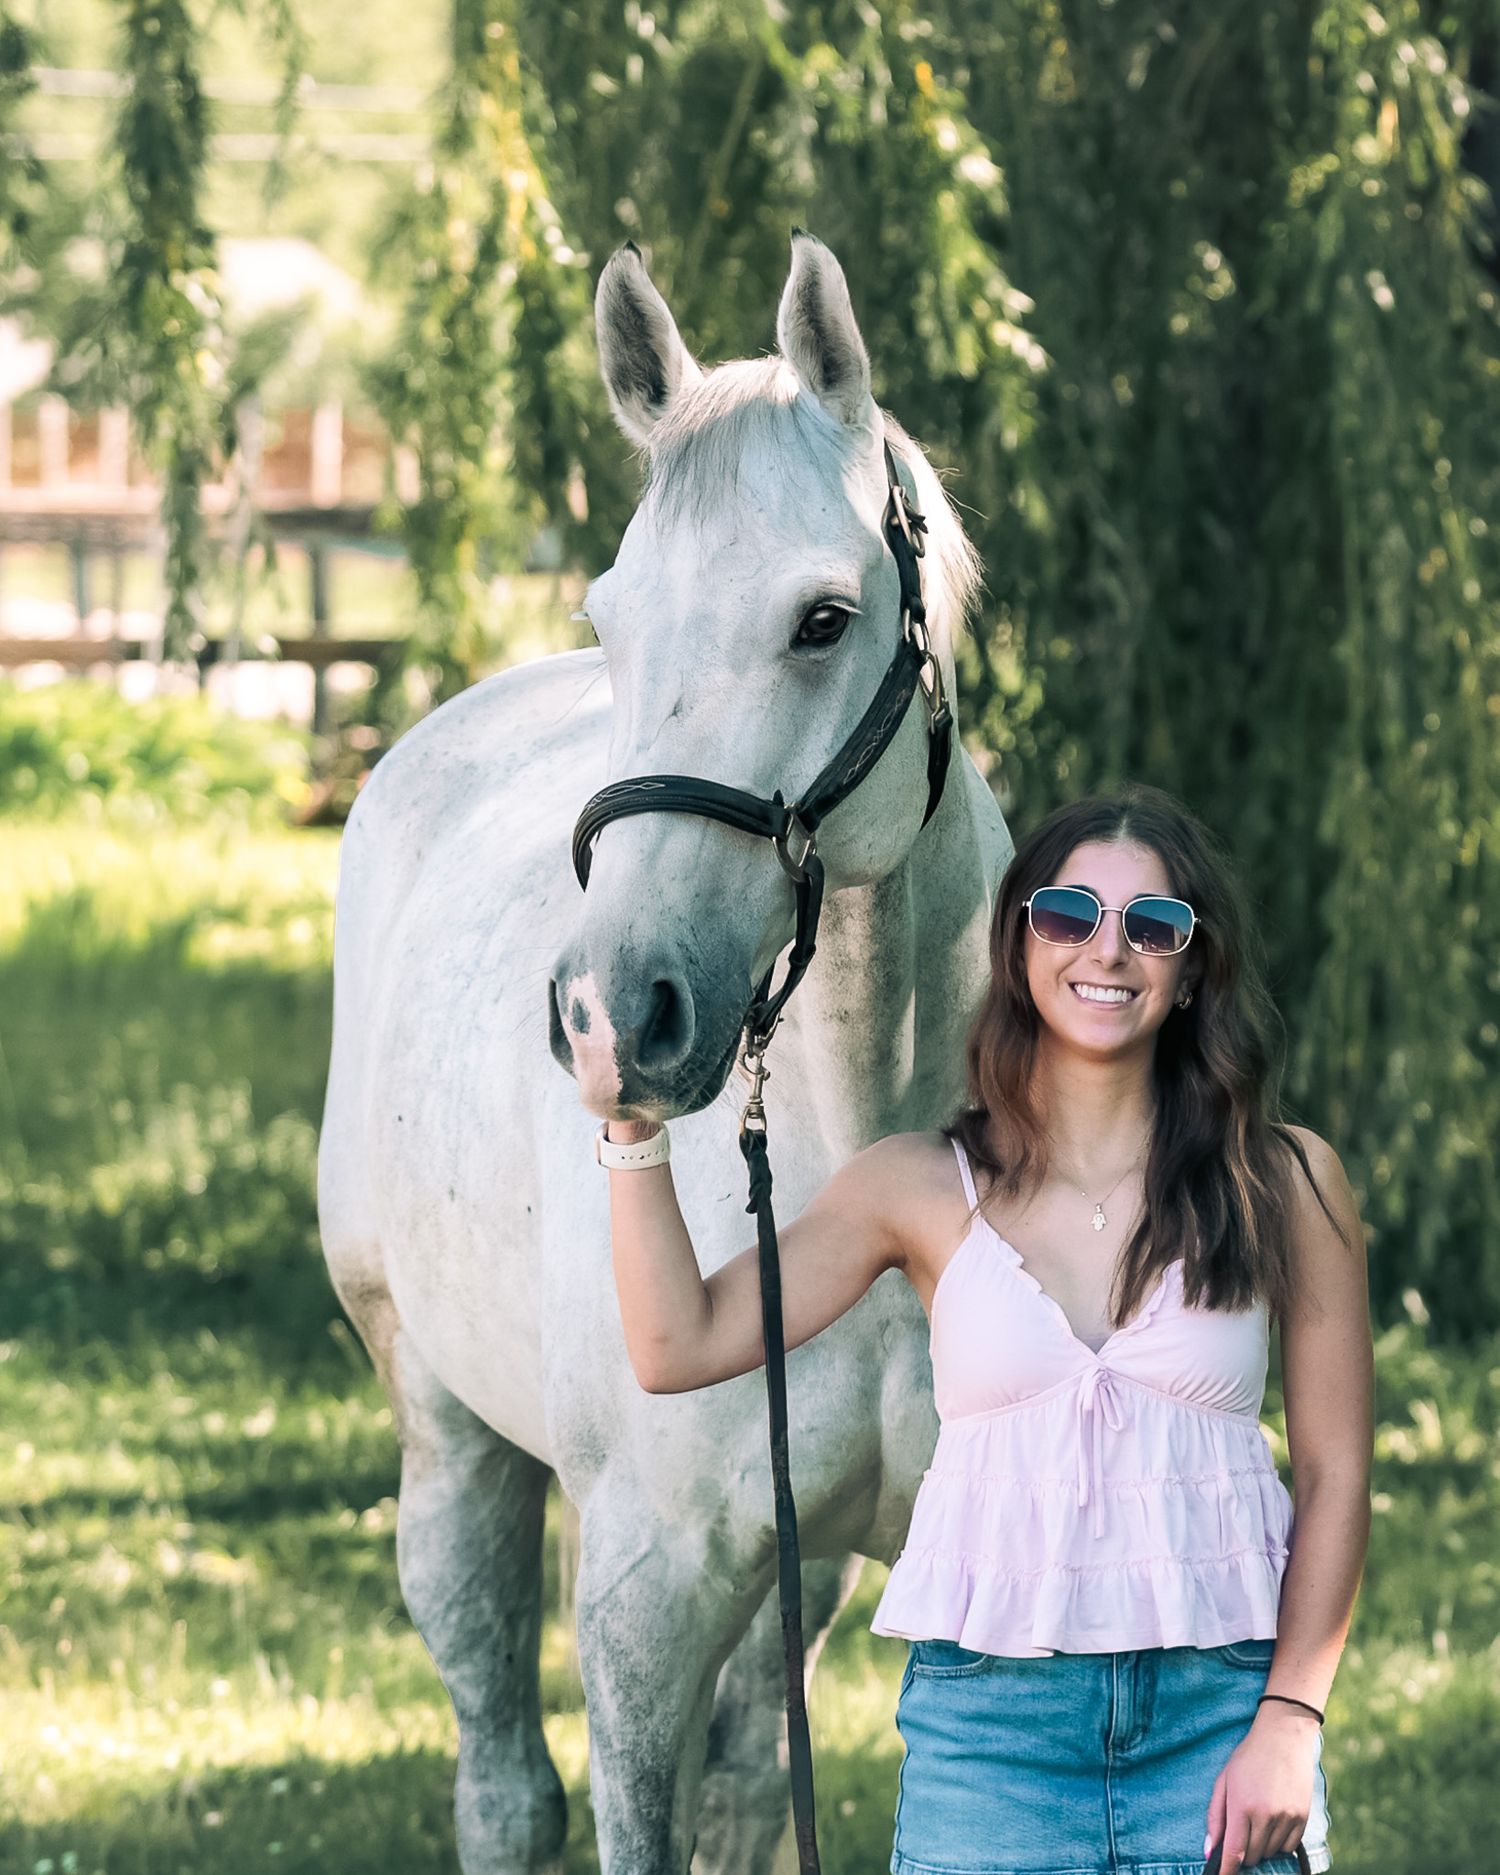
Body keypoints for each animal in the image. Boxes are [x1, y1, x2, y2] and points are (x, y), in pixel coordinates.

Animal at [316, 228, 1015, 1875]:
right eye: (610, 620)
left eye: (823, 618)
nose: (613, 1013)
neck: (857, 1140)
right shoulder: (643, 1607)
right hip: (447, 1439)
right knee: (504, 1777)